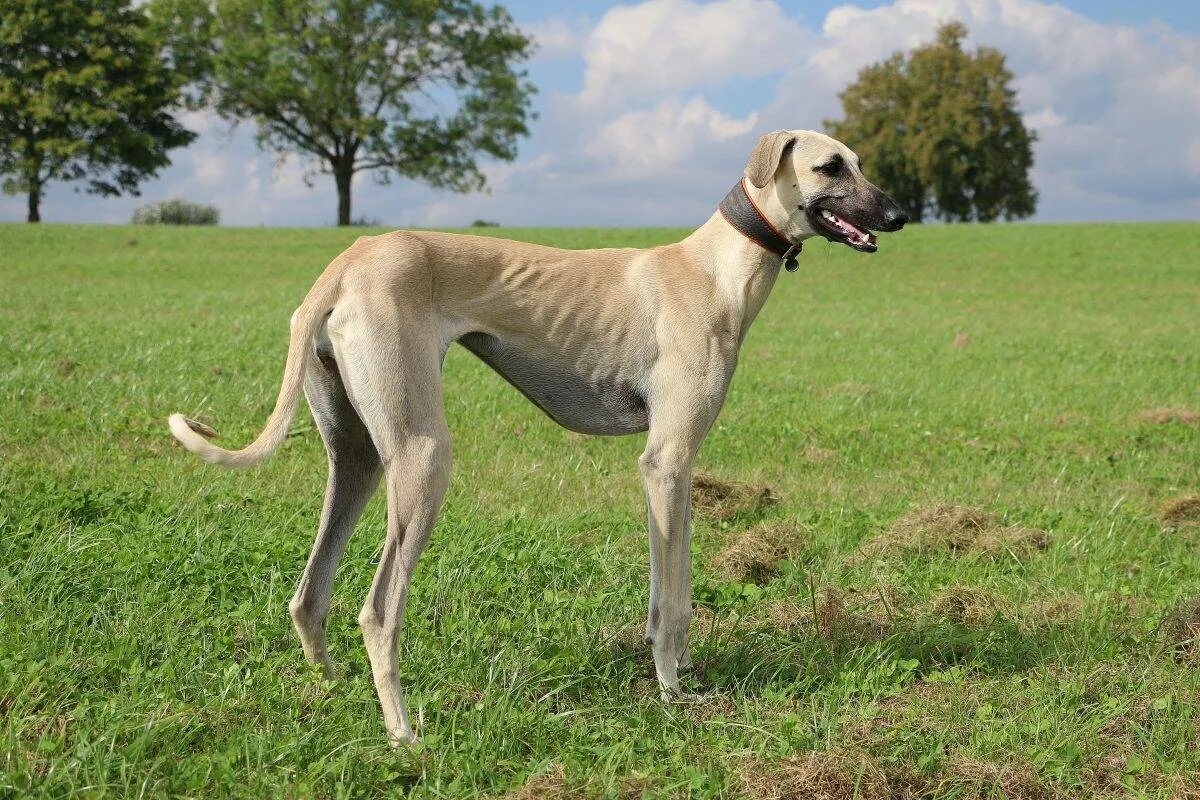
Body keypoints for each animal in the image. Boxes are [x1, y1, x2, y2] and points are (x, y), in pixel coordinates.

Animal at [166, 126, 902, 743]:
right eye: (831, 166)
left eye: (861, 162)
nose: (898, 217)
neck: (716, 269)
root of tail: (348, 261)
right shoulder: (664, 460)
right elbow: (670, 602)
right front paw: (671, 691)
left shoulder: (675, 468)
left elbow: (675, 586)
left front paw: (681, 671)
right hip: (422, 456)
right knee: (376, 612)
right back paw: (403, 734)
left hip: (359, 457)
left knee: (309, 595)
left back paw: (337, 691)